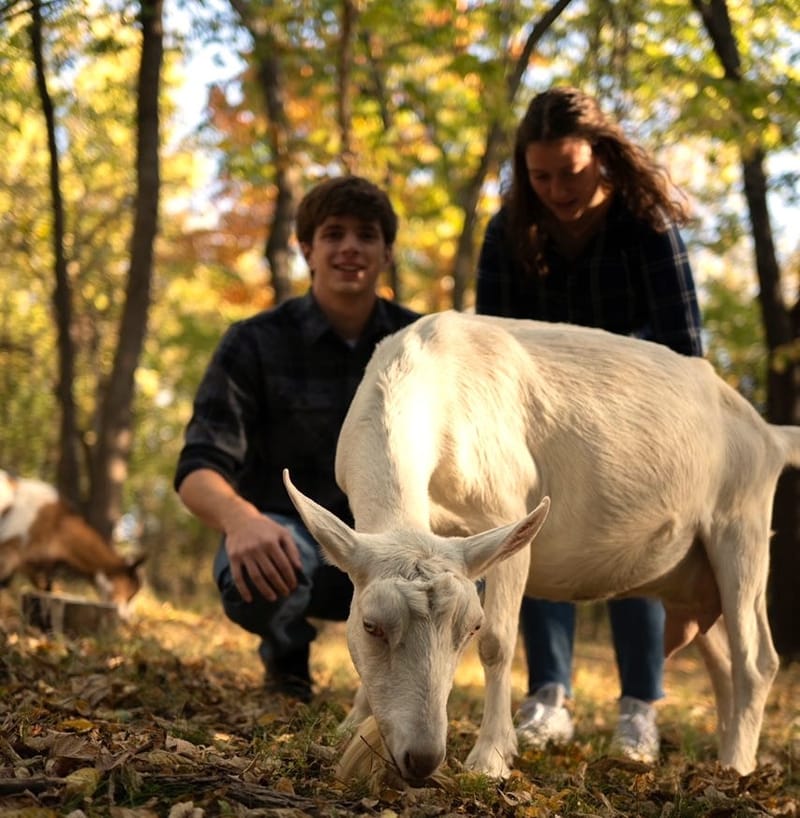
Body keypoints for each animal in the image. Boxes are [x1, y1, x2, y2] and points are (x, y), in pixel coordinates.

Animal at [0, 468, 142, 616]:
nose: (128, 616)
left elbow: (47, 590)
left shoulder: (35, 567)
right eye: (131, 592)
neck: (60, 523)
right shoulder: (8, 551)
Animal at [284, 310, 800, 780]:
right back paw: (725, 753)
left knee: (756, 659)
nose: (424, 758)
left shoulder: (503, 515)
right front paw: (352, 726)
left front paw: (491, 758)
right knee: (724, 661)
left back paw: (737, 765)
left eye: (468, 628)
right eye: (370, 626)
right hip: (693, 574)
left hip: (741, 525)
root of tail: (770, 436)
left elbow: (499, 642)